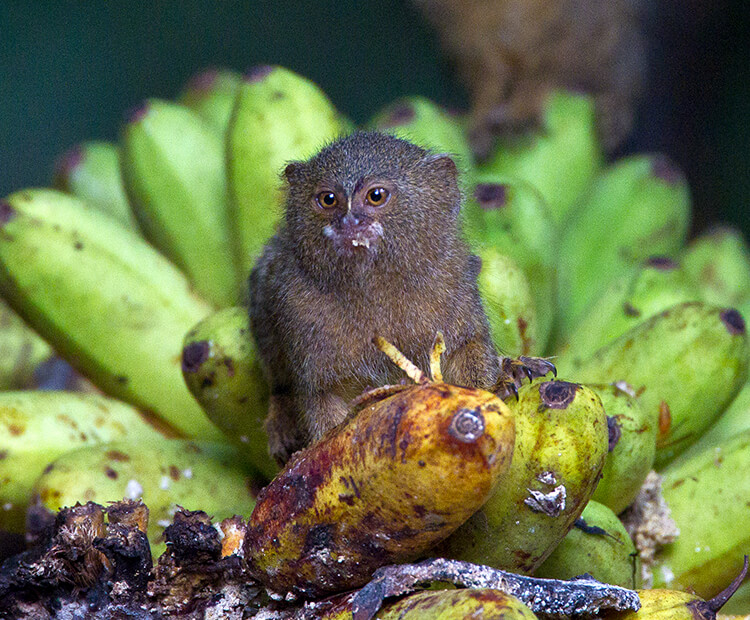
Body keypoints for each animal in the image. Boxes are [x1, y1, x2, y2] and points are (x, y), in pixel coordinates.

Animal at [248, 132, 506, 464]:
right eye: (328, 199)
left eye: (376, 195)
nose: (349, 222)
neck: (373, 288)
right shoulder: (296, 306)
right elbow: (324, 396)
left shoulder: (455, 282)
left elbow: (469, 348)